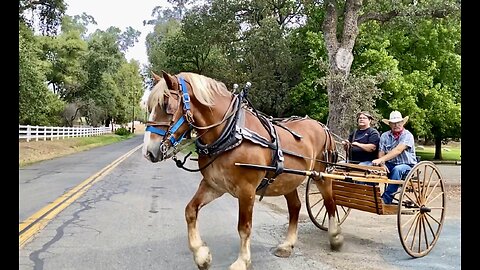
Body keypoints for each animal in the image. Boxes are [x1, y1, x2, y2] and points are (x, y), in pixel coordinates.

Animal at [141, 71, 344, 270]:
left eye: (166, 105)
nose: (148, 151)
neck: (231, 135)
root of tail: (322, 126)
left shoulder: (247, 190)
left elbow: (244, 227)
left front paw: (242, 261)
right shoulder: (214, 185)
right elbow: (190, 211)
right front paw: (201, 255)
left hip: (322, 175)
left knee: (330, 203)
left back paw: (335, 237)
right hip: (288, 180)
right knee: (295, 207)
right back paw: (287, 245)